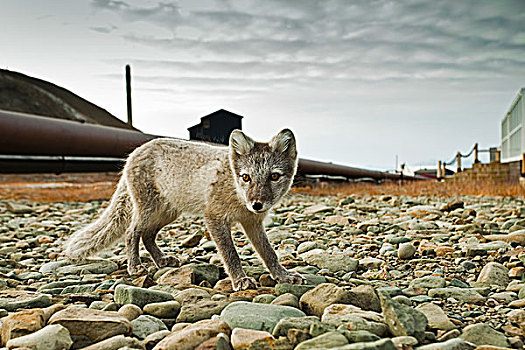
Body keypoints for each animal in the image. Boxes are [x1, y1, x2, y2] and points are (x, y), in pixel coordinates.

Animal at [64, 129, 304, 290]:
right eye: (246, 177)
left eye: (274, 176)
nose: (256, 204)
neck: (235, 191)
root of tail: (134, 152)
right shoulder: (214, 217)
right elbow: (230, 254)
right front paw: (240, 279)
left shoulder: (253, 222)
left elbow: (269, 253)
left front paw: (283, 275)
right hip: (147, 210)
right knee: (132, 233)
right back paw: (136, 267)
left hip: (168, 213)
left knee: (148, 235)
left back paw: (162, 261)